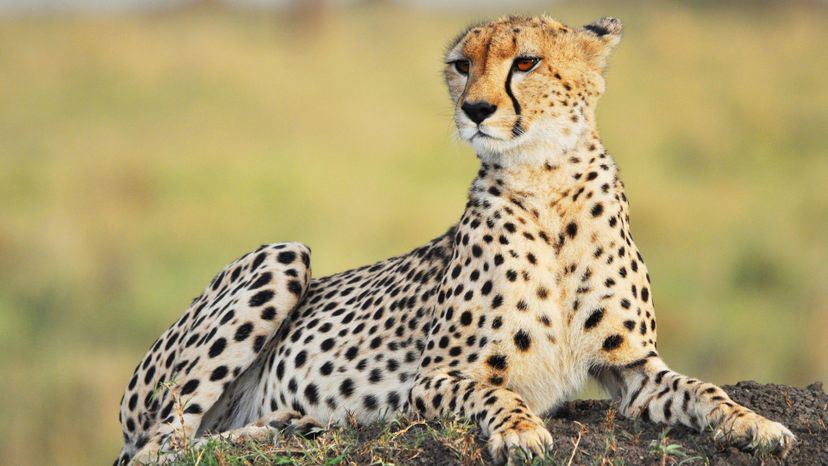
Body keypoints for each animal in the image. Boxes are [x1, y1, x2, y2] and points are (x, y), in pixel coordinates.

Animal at [114, 15, 796, 465]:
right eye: (462, 65)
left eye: (526, 62)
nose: (475, 109)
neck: (546, 184)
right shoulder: (433, 377)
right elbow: (493, 392)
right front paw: (520, 430)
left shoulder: (632, 366)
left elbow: (703, 389)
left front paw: (755, 423)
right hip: (282, 255)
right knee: (160, 447)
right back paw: (276, 427)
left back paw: (283, 423)